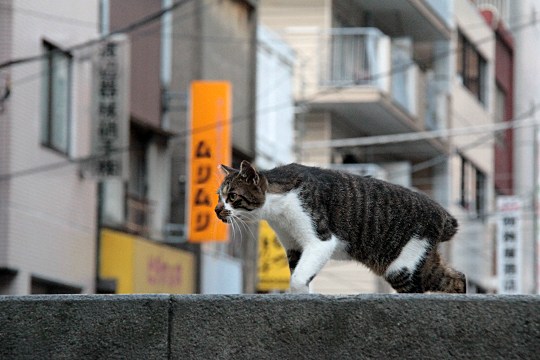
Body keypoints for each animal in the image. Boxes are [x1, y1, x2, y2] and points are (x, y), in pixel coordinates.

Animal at [213, 159, 466, 294]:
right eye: (218, 196)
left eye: (232, 196)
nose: (216, 209)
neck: (277, 208)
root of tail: (444, 215)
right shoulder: (293, 246)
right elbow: (299, 274)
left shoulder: (320, 241)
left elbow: (298, 279)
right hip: (418, 261)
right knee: (457, 277)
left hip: (401, 266)